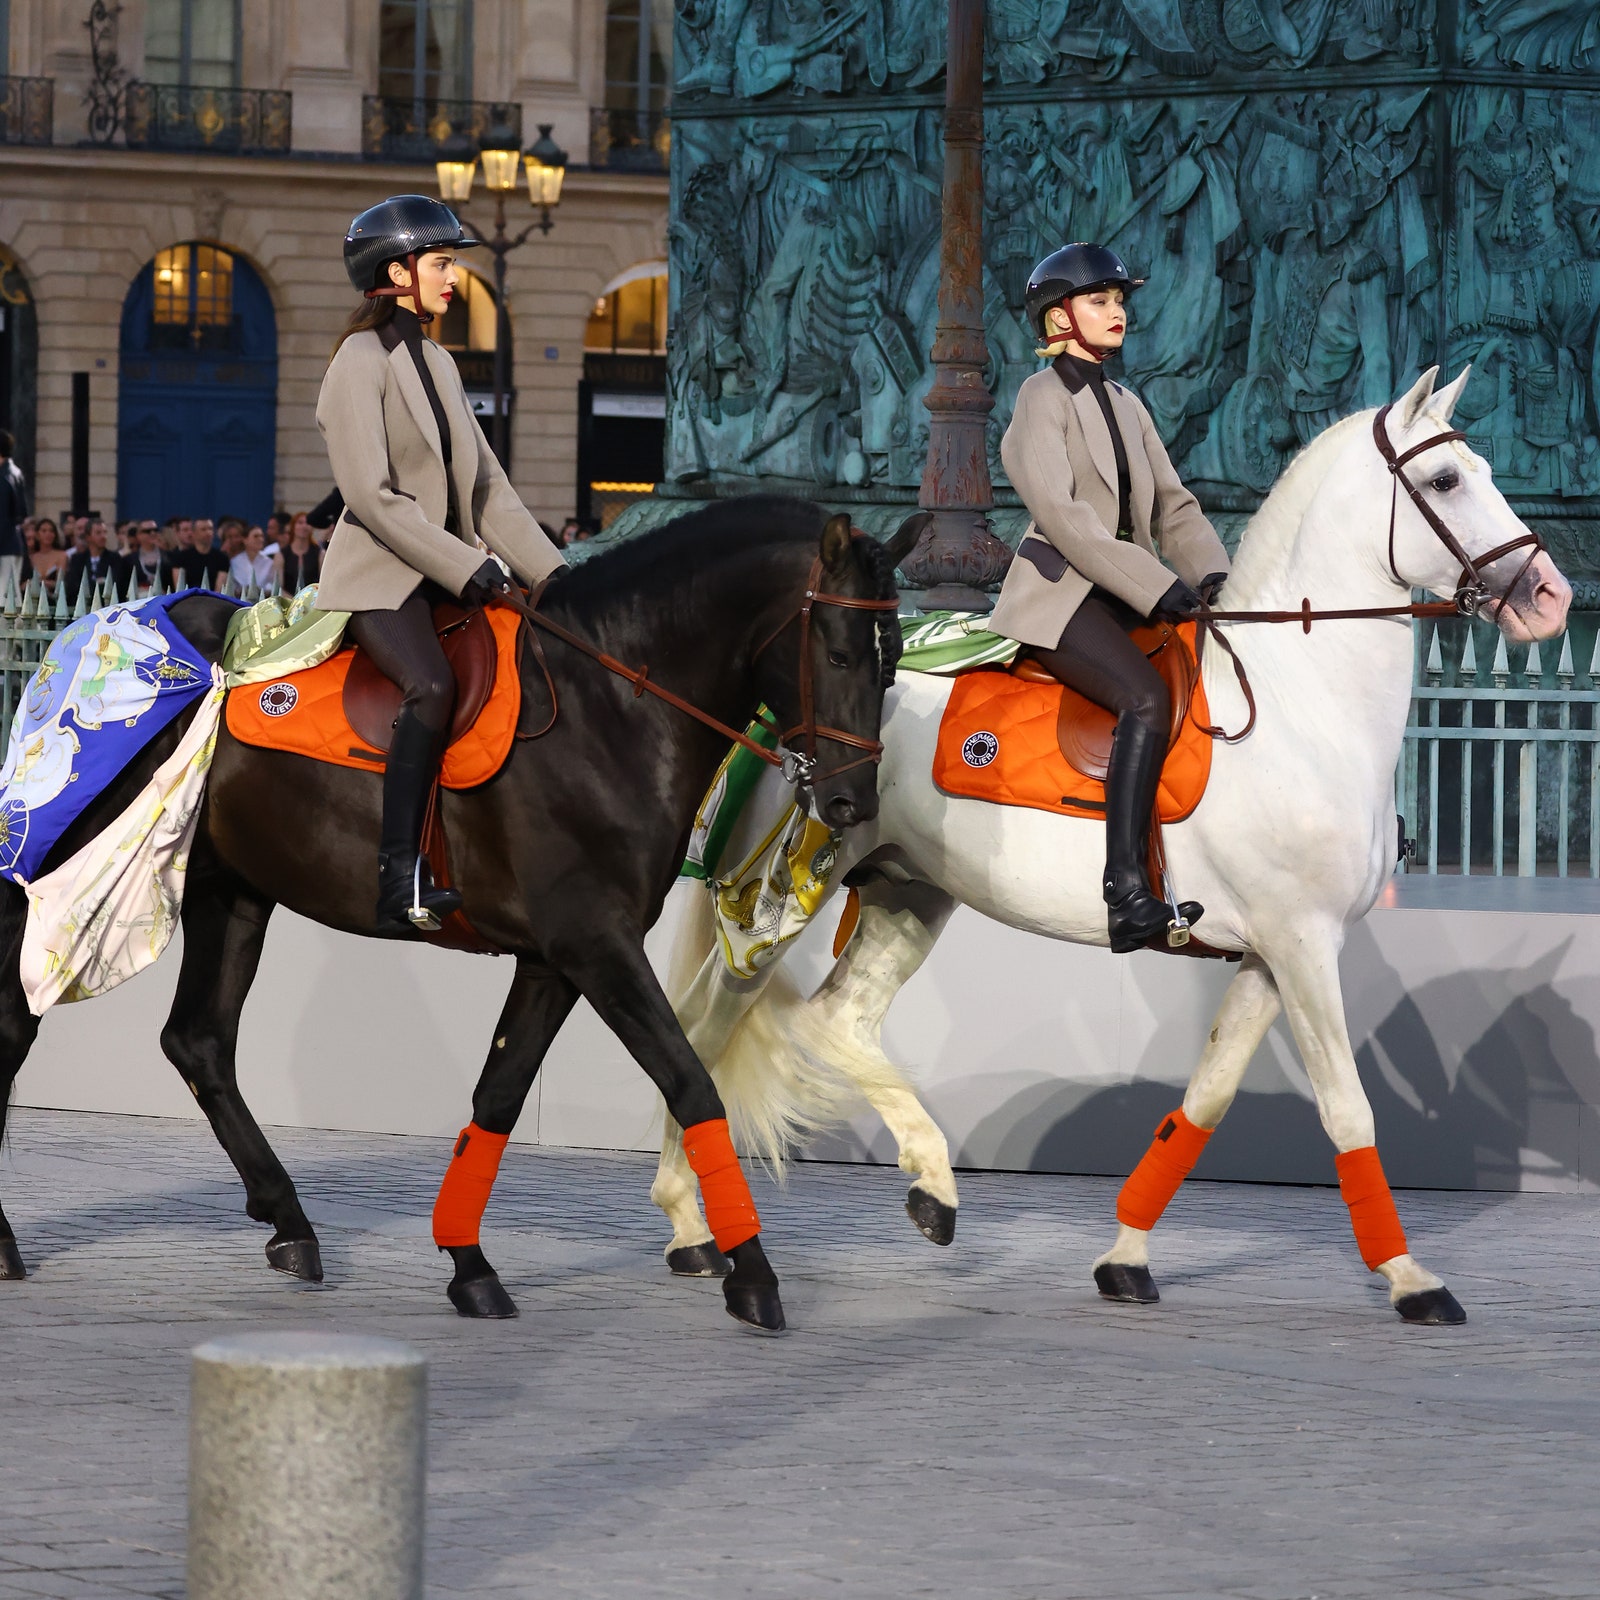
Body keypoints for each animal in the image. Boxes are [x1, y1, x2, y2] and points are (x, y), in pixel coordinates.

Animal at [0, 502, 928, 1337]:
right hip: (54, 872)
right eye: (838, 651)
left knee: (198, 1040)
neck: (607, 707)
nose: (852, 803)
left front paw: (469, 1264)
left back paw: (289, 1220)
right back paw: (12, 1241)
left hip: (232, 888)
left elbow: (500, 1095)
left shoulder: (558, 957)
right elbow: (691, 1083)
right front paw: (753, 1273)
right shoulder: (596, 945)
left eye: (892, 663)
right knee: (23, 1024)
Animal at [652, 371, 1574, 1324]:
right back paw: (693, 1225)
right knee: (704, 1024)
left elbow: (1203, 1103)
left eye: (1484, 471)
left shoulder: (1271, 952)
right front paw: (1411, 1278)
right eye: (1445, 483)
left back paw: (928, 1182)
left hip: (910, 893)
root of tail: (780, 697)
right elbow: (1348, 1112)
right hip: (782, 895)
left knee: (833, 1020)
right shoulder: (1304, 941)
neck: (1299, 706)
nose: (1551, 597)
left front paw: (1125, 1257)